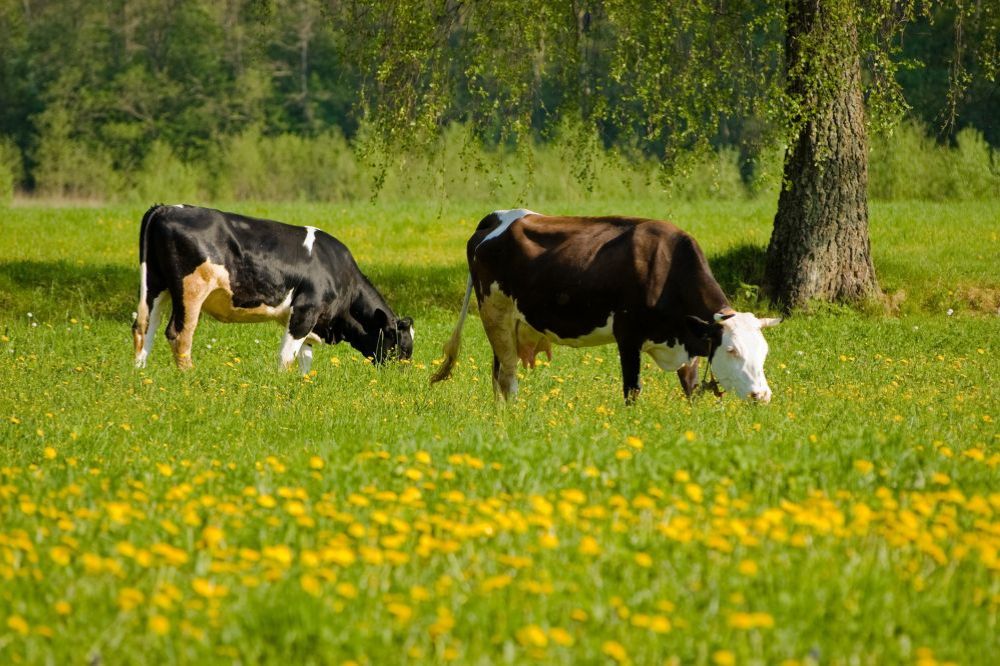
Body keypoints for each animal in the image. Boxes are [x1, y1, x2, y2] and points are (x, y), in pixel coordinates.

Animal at [133, 204, 414, 368]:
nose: (397, 380)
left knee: (144, 327)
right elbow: (287, 356)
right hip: (190, 290)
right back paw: (188, 377)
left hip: (155, 285)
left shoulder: (310, 320)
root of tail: (166, 208)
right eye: (401, 347)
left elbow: (305, 359)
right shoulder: (306, 310)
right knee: (179, 334)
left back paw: (142, 377)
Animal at [430, 210, 780, 402]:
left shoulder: (688, 341)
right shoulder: (629, 337)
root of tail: (498, 217)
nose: (762, 395)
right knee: (507, 376)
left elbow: (691, 389)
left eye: (764, 352)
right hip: (495, 313)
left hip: (512, 323)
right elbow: (632, 391)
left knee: (498, 371)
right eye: (732, 350)